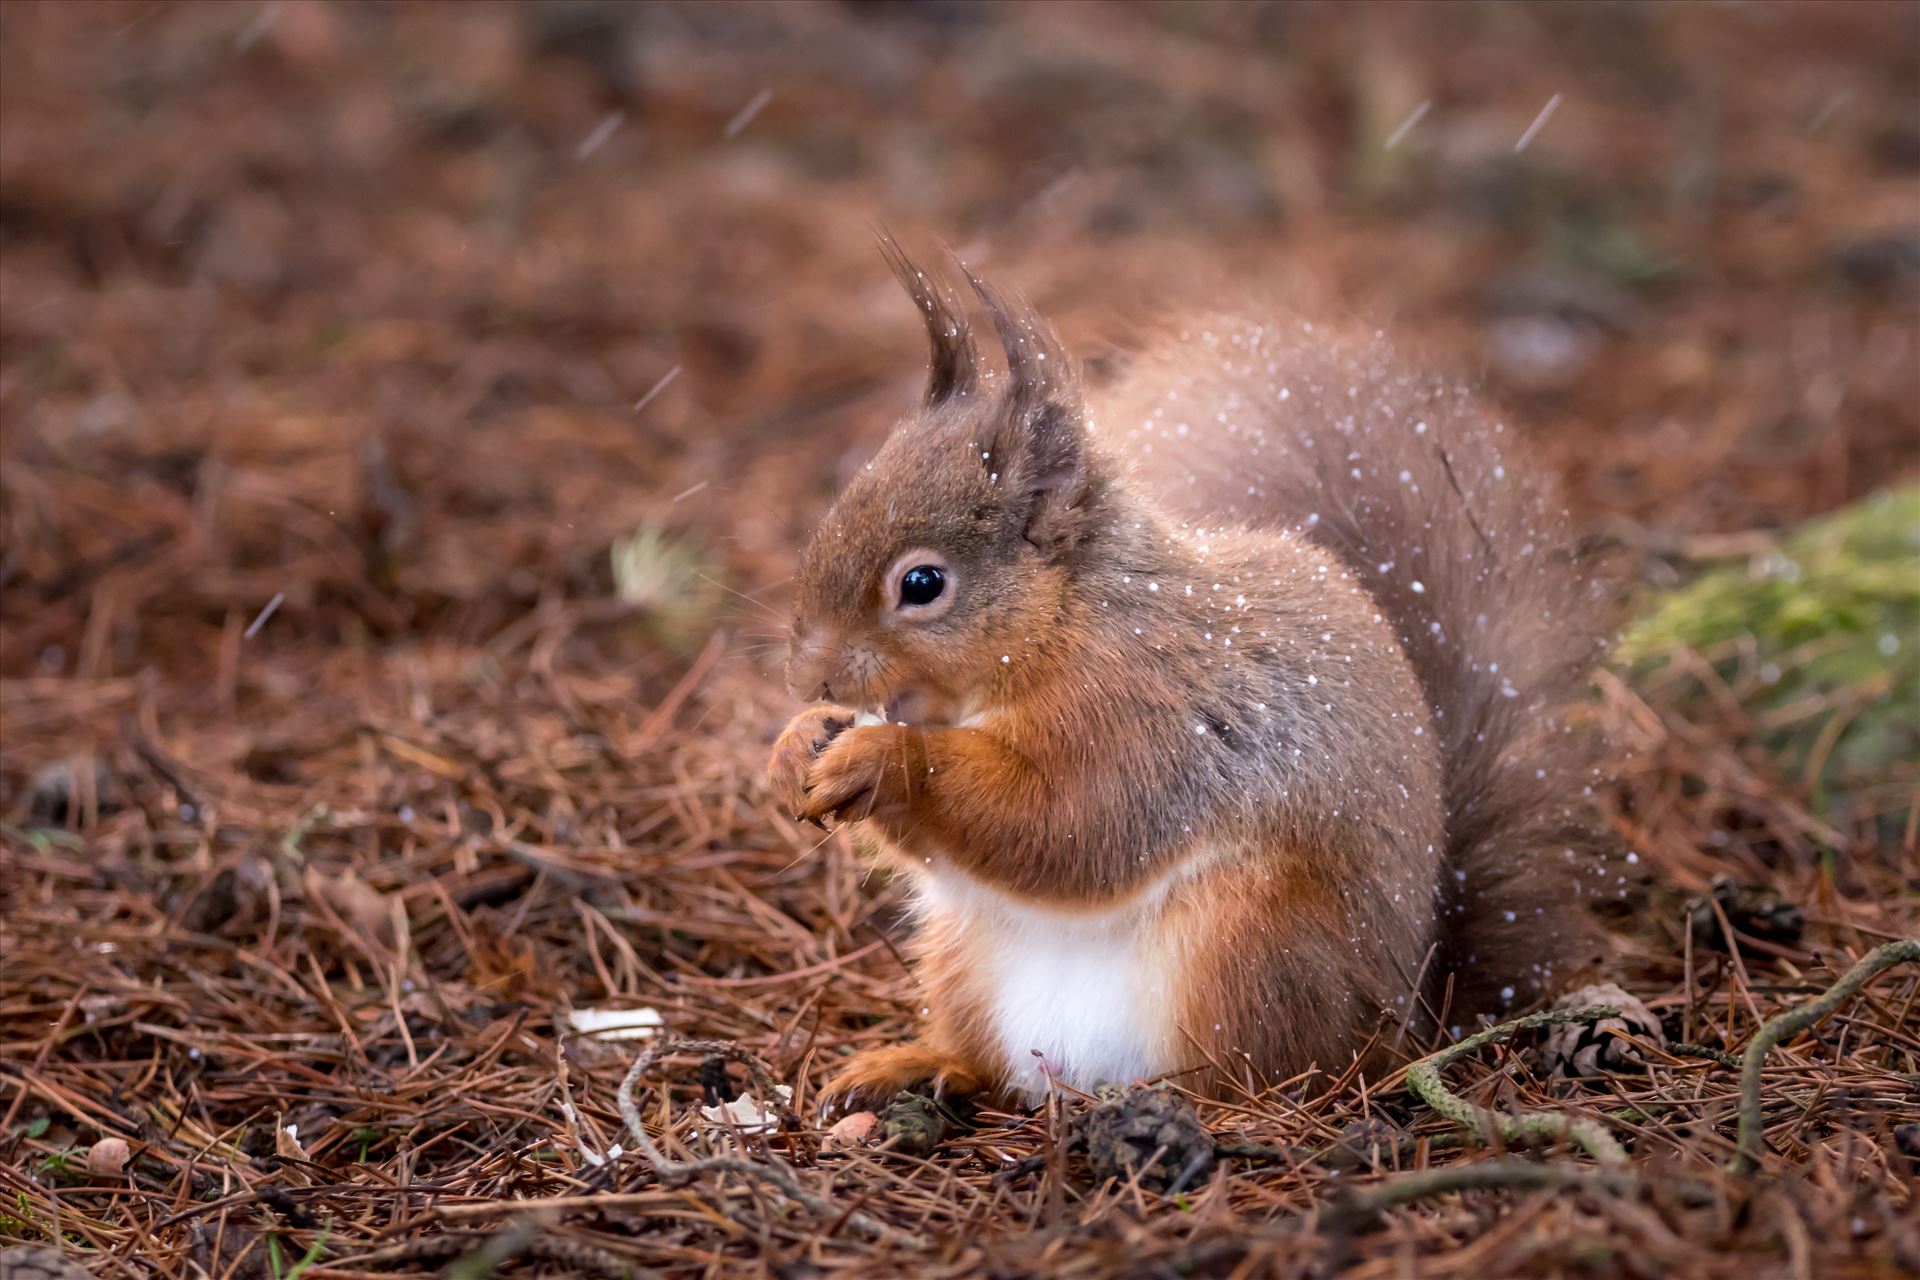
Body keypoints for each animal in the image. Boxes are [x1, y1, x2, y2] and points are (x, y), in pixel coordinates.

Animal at [768, 247, 1620, 1105]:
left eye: (922, 584)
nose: (809, 677)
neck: (1064, 624)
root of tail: (1408, 1018)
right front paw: (797, 744)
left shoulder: (1147, 711)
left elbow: (1071, 823)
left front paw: (883, 756)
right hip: (962, 958)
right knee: (991, 1067)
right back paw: (919, 1066)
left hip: (1248, 948)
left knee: (1254, 1077)